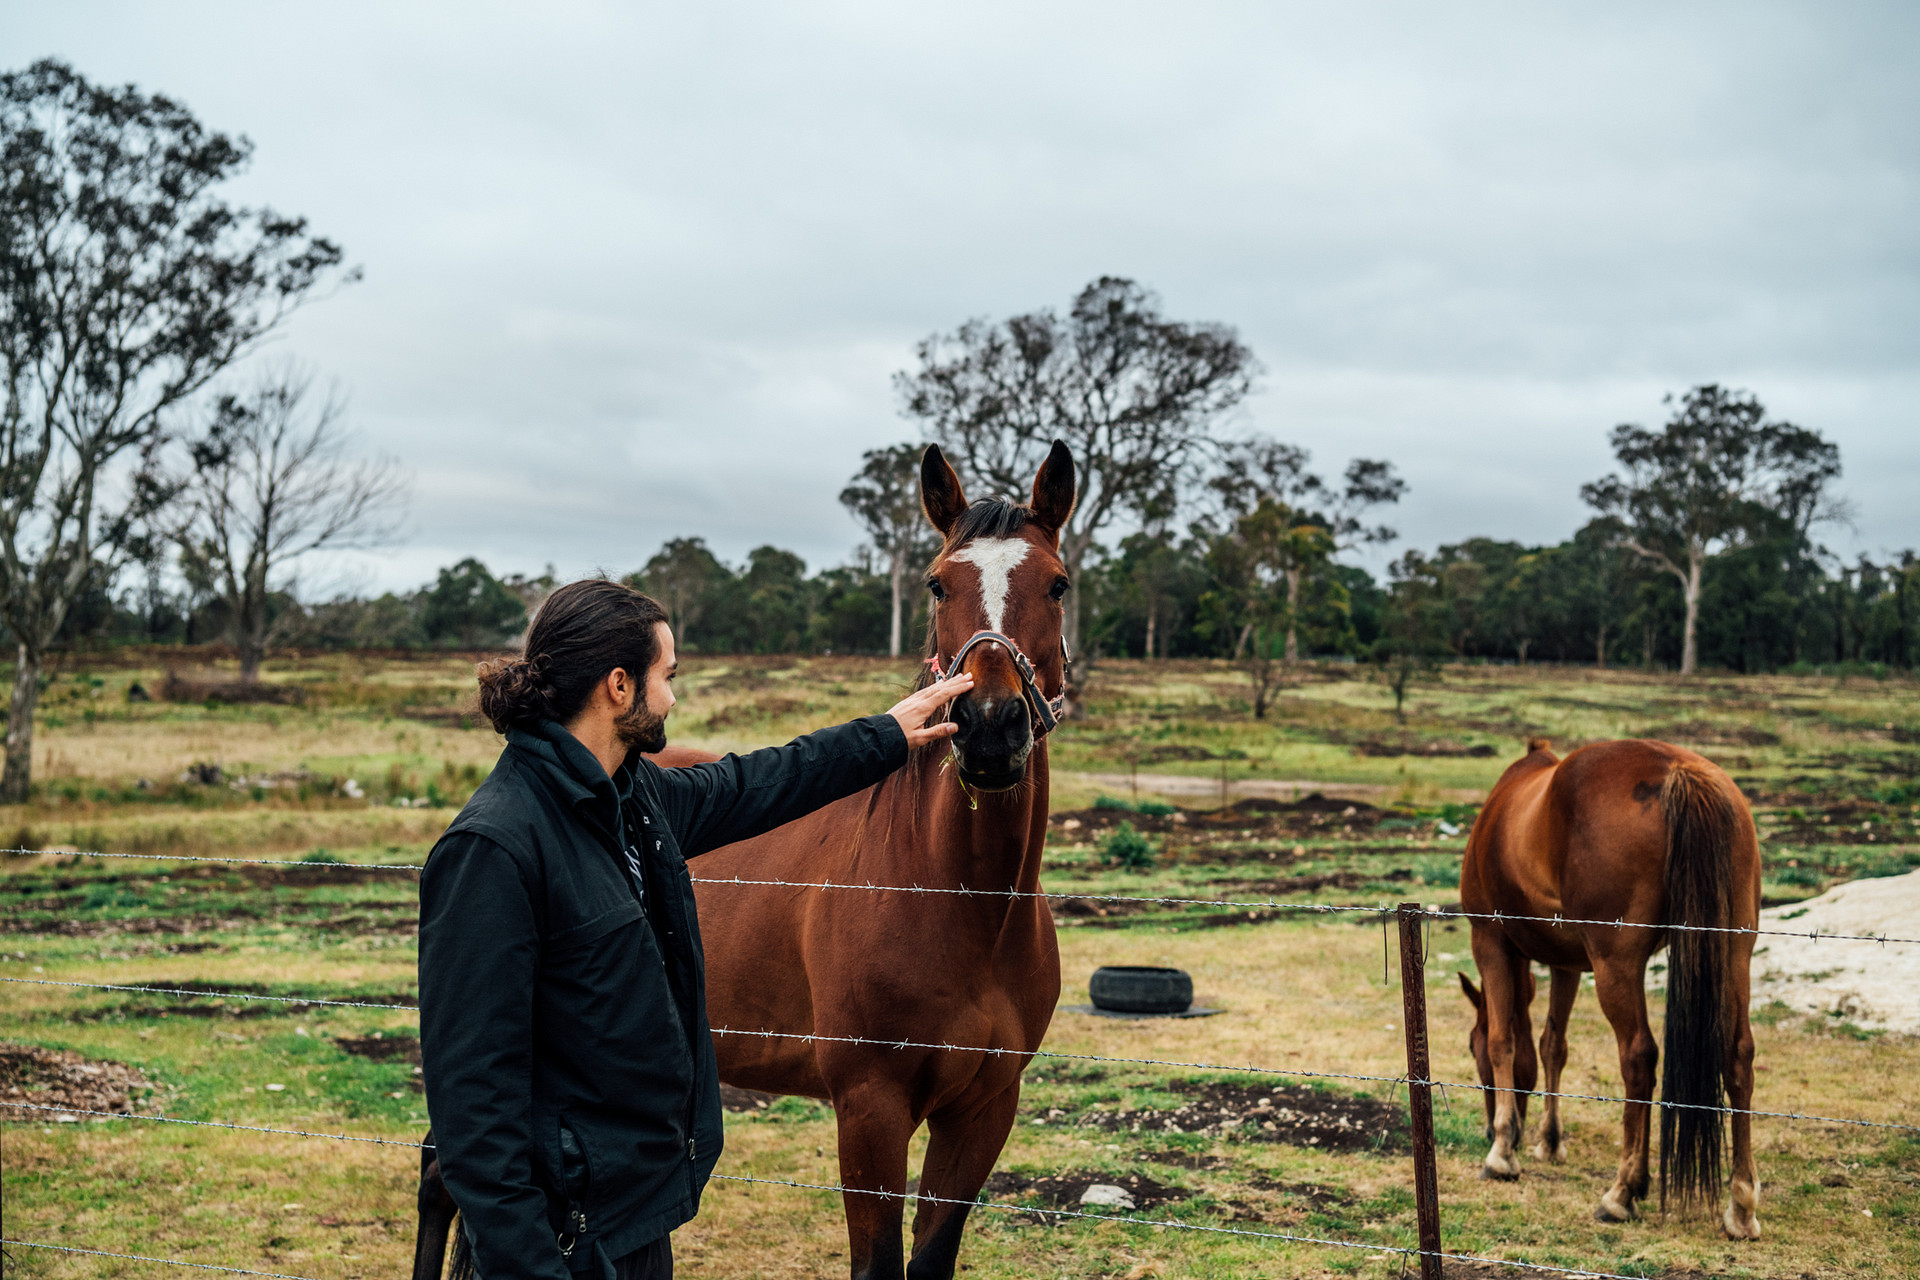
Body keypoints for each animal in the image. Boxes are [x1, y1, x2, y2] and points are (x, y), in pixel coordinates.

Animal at [1455, 736, 1762, 1239]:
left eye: (1469, 1046)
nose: (1485, 1130)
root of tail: (1678, 772)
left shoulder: (1490, 941)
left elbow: (1503, 1041)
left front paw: (1501, 1151)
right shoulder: (1567, 964)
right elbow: (1551, 1045)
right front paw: (1550, 1141)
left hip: (1616, 966)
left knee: (1639, 1058)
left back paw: (1621, 1192)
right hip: (1734, 953)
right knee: (1738, 1056)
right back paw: (1741, 1206)